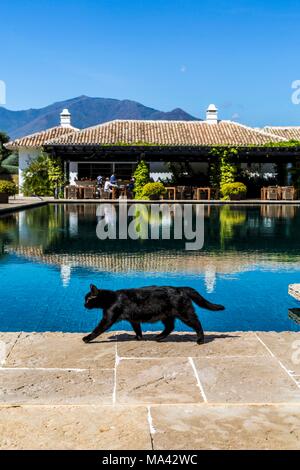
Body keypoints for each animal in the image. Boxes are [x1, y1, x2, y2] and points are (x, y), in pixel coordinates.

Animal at [82, 284, 225, 344]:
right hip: (167, 316)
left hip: (184, 314)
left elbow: (97, 330)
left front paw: (87, 338)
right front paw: (138, 338)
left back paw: (200, 340)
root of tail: (180, 288)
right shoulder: (134, 319)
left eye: (88, 299)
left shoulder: (108, 318)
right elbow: (137, 329)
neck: (111, 298)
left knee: (197, 324)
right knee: (170, 327)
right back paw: (159, 337)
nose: (84, 305)